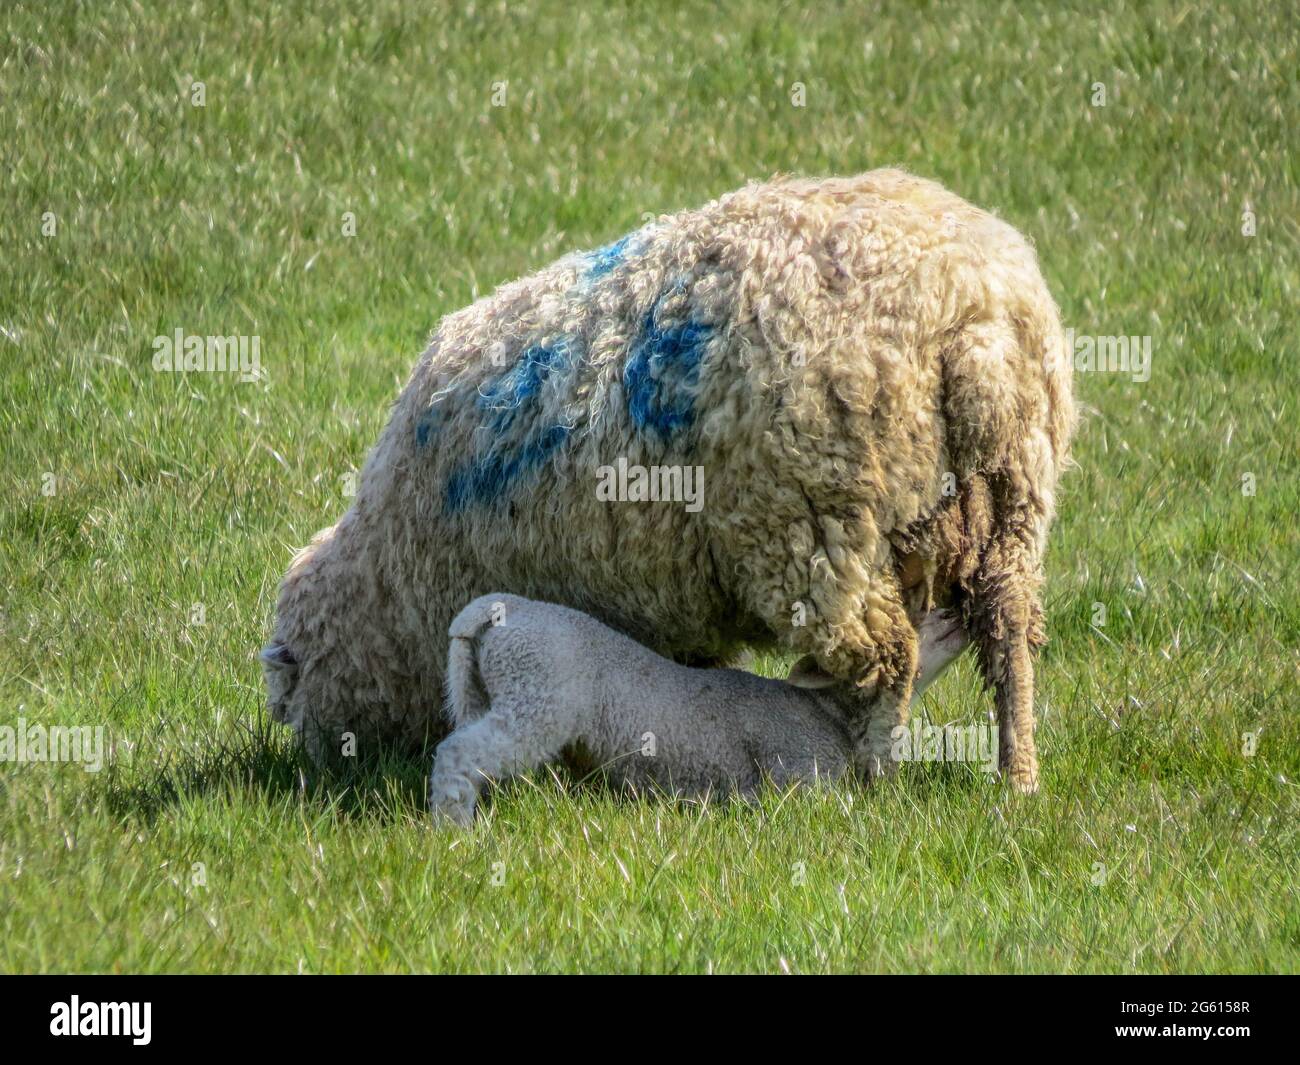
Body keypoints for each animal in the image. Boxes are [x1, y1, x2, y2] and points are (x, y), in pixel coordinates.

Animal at [262, 168, 1075, 792]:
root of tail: (974, 315)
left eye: (292, 692)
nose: (312, 766)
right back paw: (1019, 778)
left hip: (818, 527)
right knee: (1007, 633)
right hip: (1013, 503)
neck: (390, 575)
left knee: (890, 662)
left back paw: (876, 776)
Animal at [429, 594, 971, 825]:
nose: (958, 607)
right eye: (910, 618)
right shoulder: (797, 770)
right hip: (537, 697)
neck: (830, 713)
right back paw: (455, 833)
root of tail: (484, 612)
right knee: (457, 753)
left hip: (485, 690)